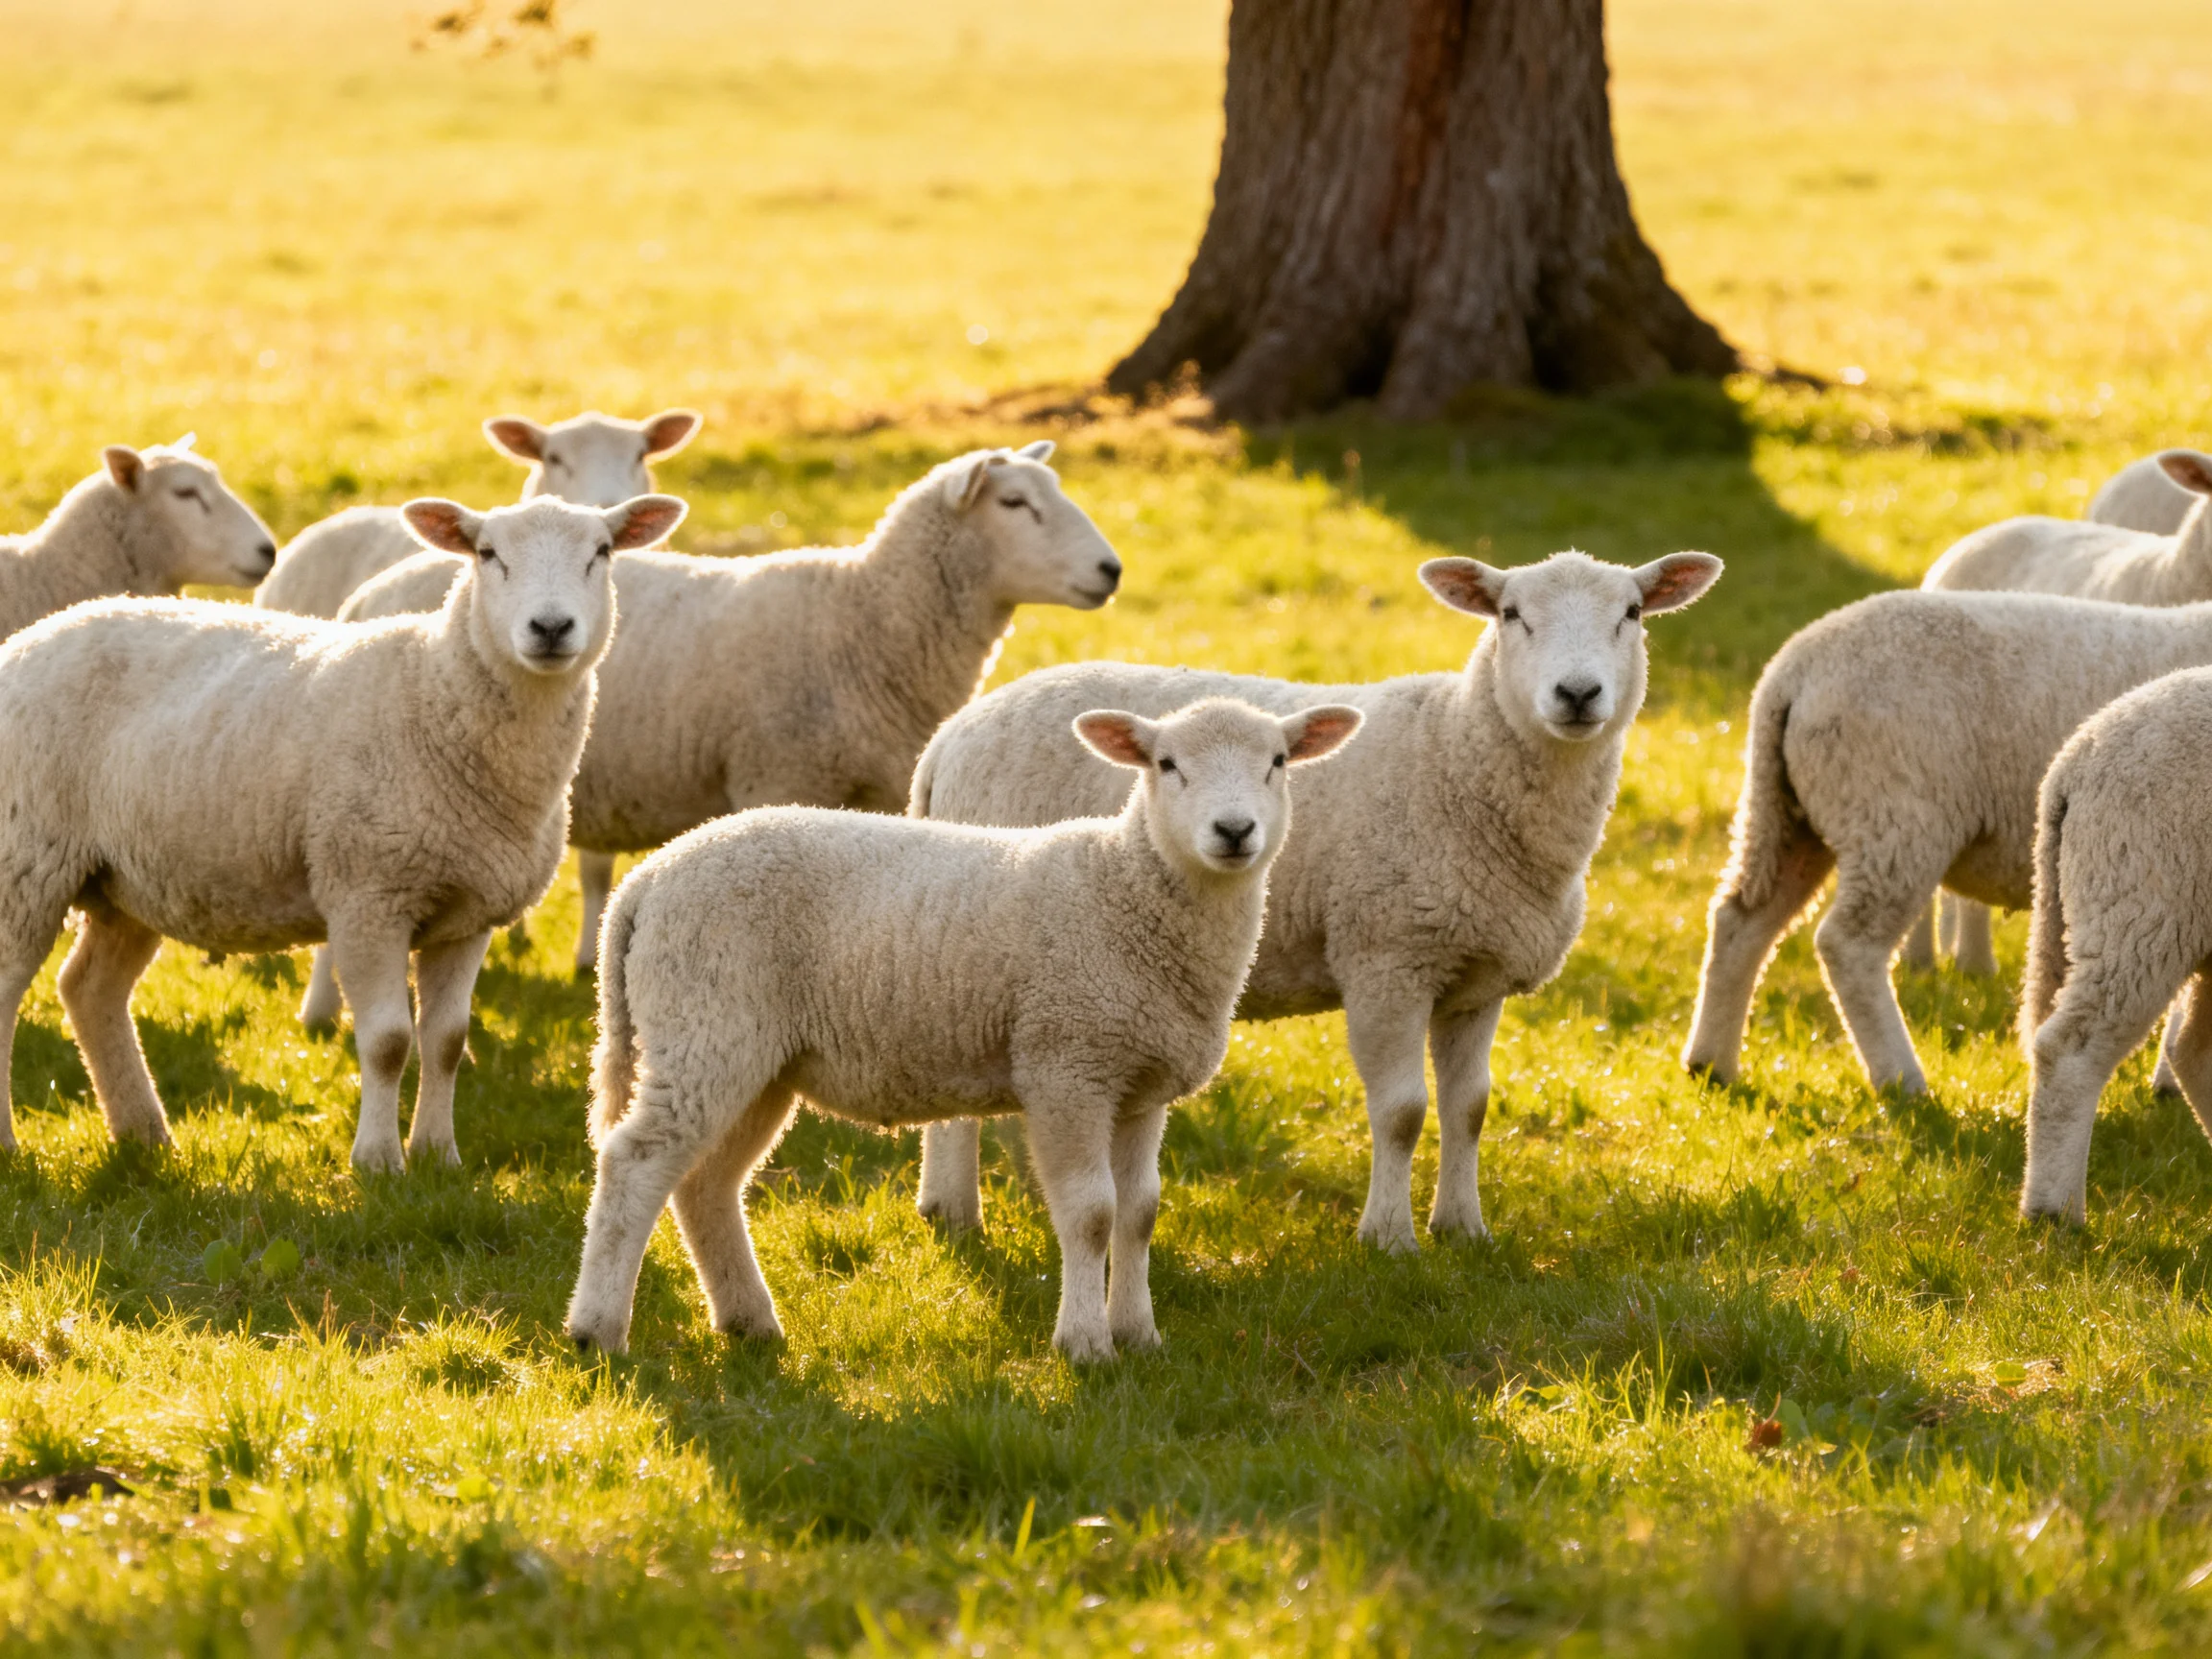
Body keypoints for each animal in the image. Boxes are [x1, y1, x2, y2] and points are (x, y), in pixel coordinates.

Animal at [0, 491, 685, 1170]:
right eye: (488, 553)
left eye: (602, 552)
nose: (550, 629)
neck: (435, 692)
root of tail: (31, 637)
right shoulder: (367, 897)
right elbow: (387, 1041)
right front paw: (378, 1162)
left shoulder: (469, 914)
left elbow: (445, 1040)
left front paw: (438, 1156)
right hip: (25, 859)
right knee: (11, 989)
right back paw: (14, 1143)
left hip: (126, 880)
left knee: (89, 991)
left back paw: (143, 1135)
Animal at [563, 696, 1364, 1360]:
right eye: (1167, 765)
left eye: (1278, 761)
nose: (1234, 831)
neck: (1129, 890)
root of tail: (648, 882)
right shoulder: (1066, 1064)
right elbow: (1091, 1214)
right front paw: (1085, 1345)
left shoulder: (1140, 1084)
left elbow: (1139, 1213)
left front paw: (1139, 1335)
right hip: (705, 1021)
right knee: (636, 1163)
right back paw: (598, 1330)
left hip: (754, 1054)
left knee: (706, 1183)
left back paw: (748, 1321)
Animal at [907, 549, 1725, 1251]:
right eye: (1511, 613)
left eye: (1632, 613)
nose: (1578, 694)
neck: (1456, 754)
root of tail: (949, 738)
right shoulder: (1387, 957)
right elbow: (1402, 1112)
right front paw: (1388, 1238)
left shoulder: (1476, 974)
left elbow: (1469, 1108)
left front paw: (1463, 1228)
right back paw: (957, 1213)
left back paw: (948, 1207)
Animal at [1681, 588, 2212, 1097]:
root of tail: (1790, 673)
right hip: (1895, 819)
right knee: (1848, 945)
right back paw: (1902, 1080)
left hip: (1791, 814)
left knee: (1741, 921)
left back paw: (1711, 1064)